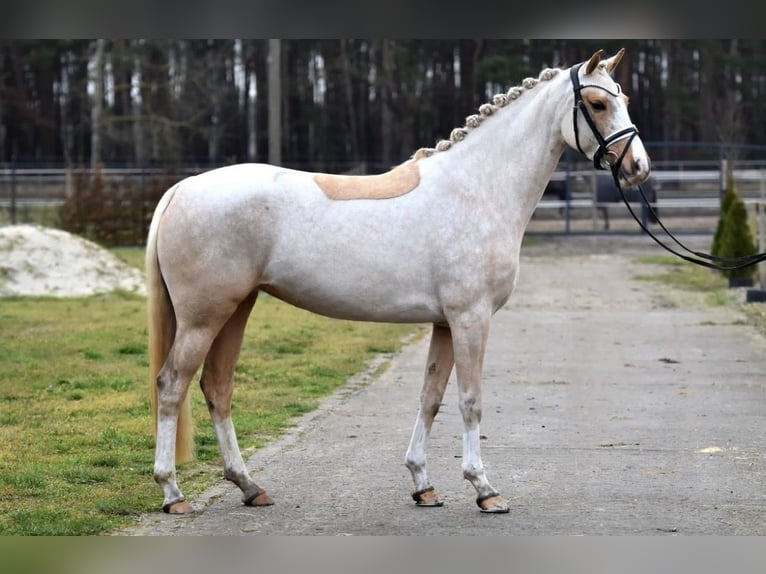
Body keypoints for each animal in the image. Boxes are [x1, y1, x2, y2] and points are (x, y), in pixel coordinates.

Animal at [146, 48, 651, 515]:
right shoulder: (471, 319)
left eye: (625, 99)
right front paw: (484, 490)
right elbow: (470, 400)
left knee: (217, 387)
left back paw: (250, 487)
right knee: (172, 385)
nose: (638, 168)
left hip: (237, 309)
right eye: (597, 104)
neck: (477, 189)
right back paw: (173, 493)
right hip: (204, 317)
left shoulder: (445, 323)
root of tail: (179, 189)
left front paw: (423, 485)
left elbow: (431, 397)